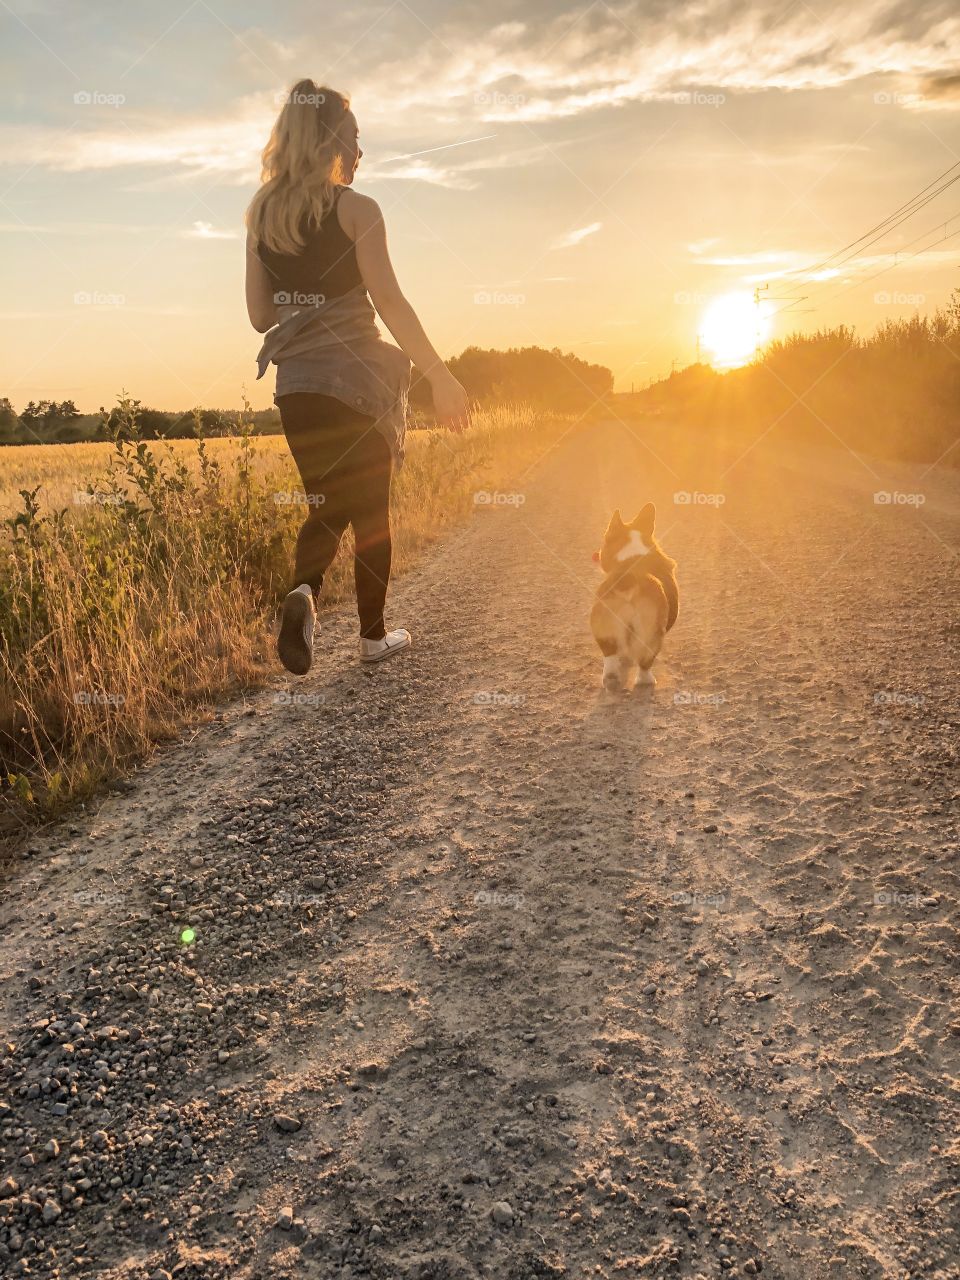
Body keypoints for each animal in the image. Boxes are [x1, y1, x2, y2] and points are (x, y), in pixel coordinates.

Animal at [591, 504, 680, 696]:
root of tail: (628, 579)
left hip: (602, 625)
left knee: (610, 656)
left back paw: (611, 680)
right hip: (652, 632)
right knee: (645, 662)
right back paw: (646, 681)